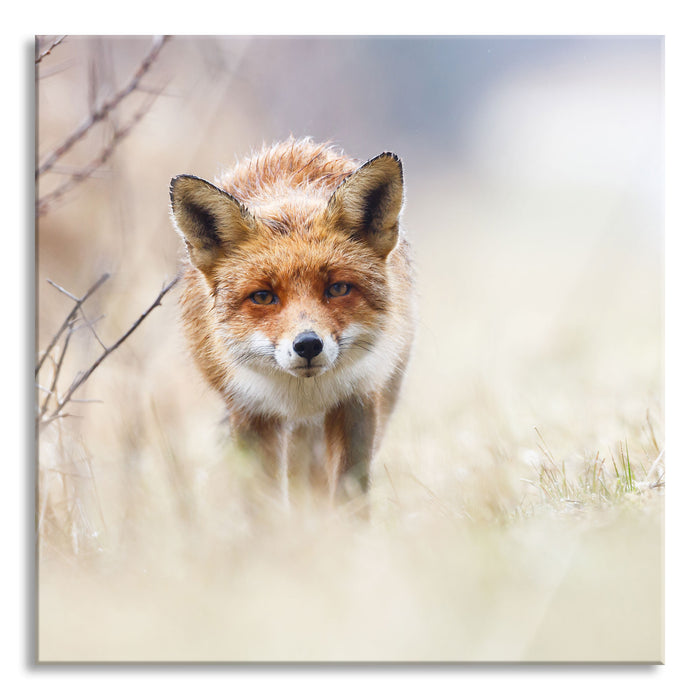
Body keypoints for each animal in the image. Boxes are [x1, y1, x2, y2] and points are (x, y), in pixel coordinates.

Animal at [169, 138, 415, 506]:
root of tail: (295, 145)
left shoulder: (357, 401)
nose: (308, 345)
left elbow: (349, 495)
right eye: (262, 296)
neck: (303, 396)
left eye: (338, 288)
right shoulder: (250, 412)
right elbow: (263, 503)